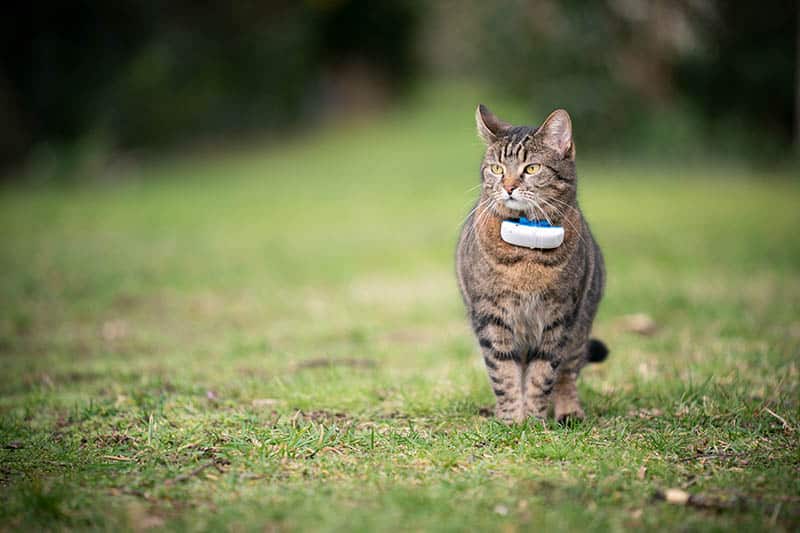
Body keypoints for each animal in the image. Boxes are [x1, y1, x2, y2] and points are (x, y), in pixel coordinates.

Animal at [456, 104, 608, 424]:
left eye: (532, 168)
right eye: (497, 169)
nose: (509, 187)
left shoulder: (560, 315)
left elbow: (543, 373)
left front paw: (535, 421)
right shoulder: (490, 315)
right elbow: (503, 372)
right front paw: (512, 420)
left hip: (581, 326)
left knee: (567, 373)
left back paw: (568, 412)